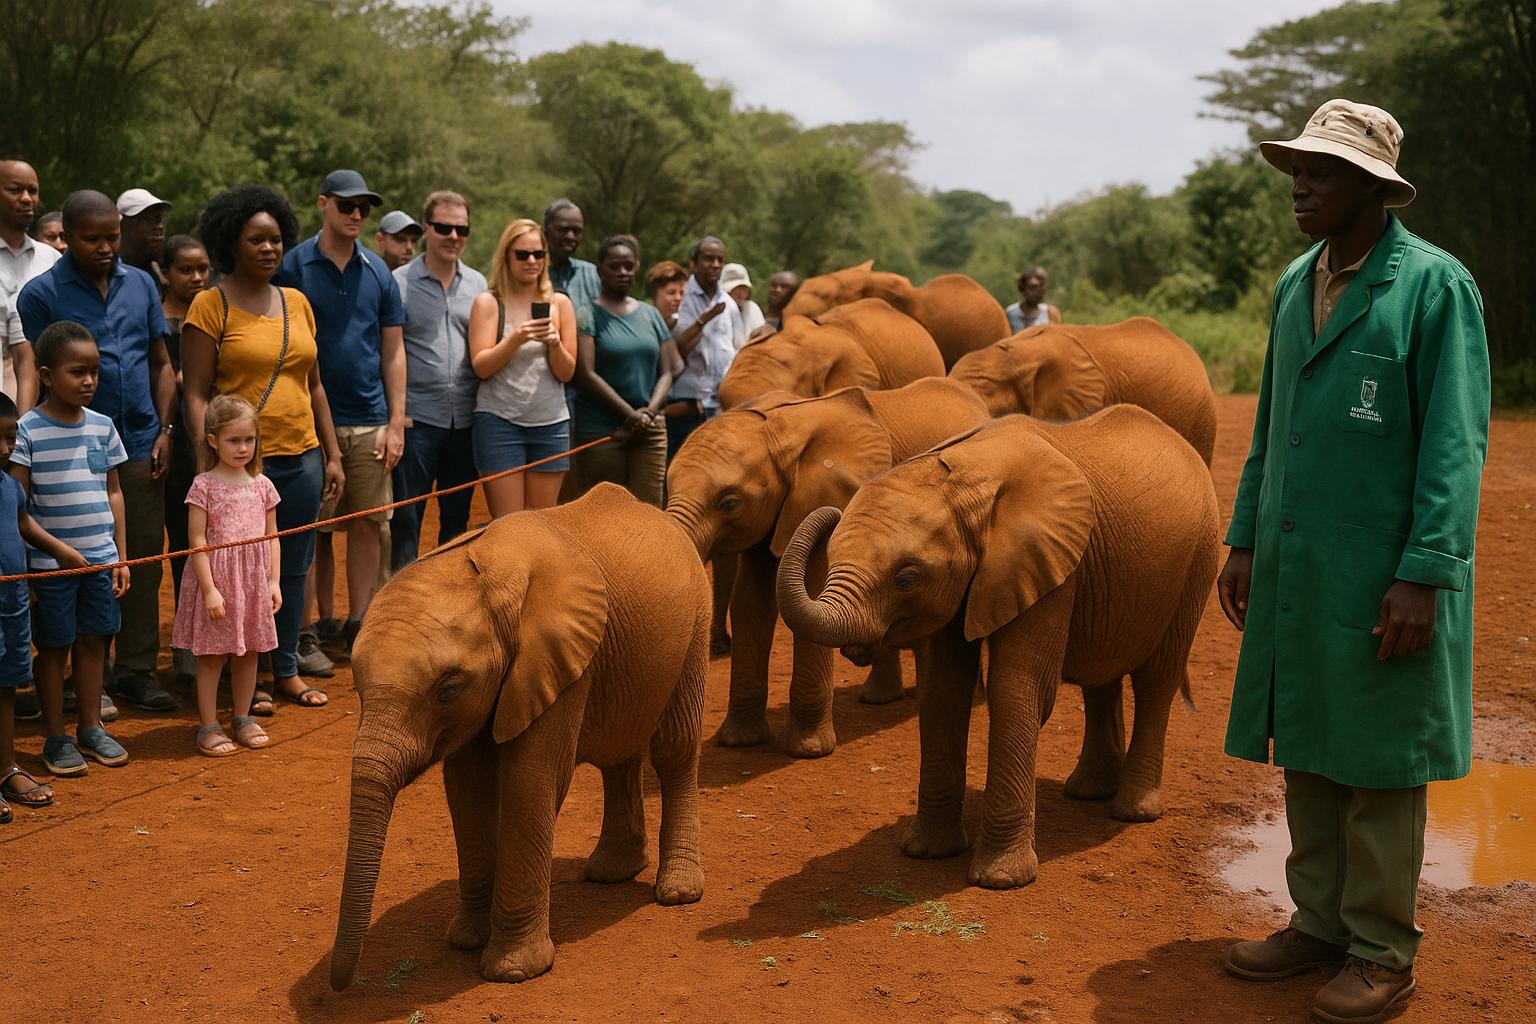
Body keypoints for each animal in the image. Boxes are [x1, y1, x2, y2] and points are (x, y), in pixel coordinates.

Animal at [329, 483, 710, 988]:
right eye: (355, 685)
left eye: (447, 689)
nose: (341, 985)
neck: (487, 576)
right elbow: (468, 789)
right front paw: (466, 940)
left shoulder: (558, 661)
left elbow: (529, 782)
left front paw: (512, 971)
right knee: (619, 750)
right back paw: (611, 872)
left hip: (697, 620)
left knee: (674, 749)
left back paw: (678, 892)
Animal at [666, 379, 991, 758]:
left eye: (729, 502)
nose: (836, 516)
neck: (779, 430)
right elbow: (750, 603)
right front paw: (740, 741)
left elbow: (810, 591)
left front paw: (808, 751)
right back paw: (879, 699)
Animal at [776, 408, 1219, 890]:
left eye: (907, 578)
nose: (829, 511)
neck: (966, 482)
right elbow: (945, 689)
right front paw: (927, 852)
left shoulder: (1048, 564)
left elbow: (1016, 688)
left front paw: (1001, 880)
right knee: (1101, 677)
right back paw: (1086, 792)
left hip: (1199, 560)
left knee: (1158, 680)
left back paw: (1134, 812)